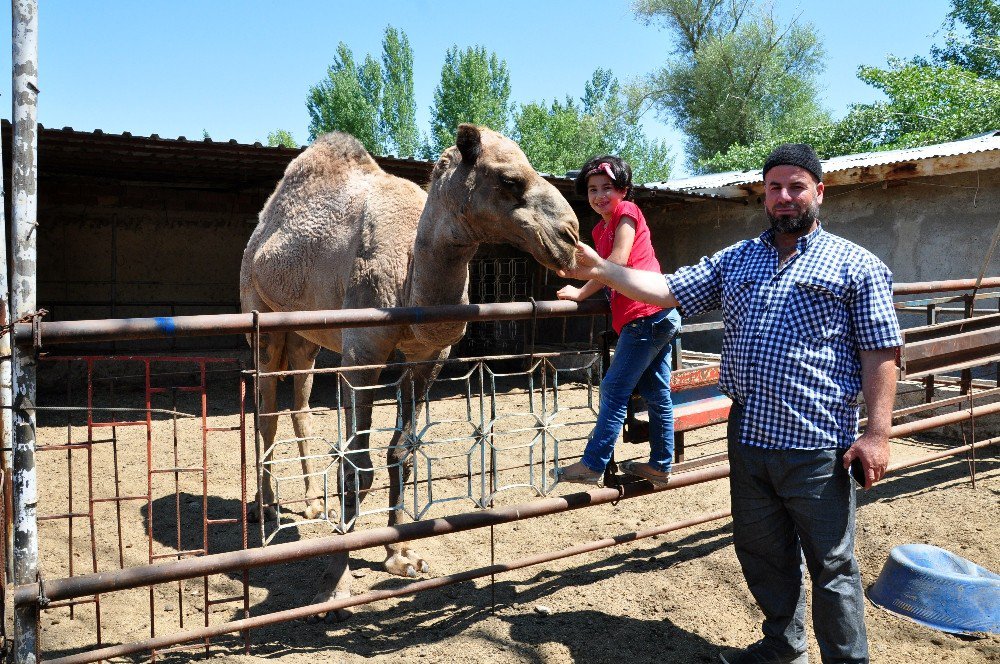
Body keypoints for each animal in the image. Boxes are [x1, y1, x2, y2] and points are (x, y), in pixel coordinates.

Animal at [240, 123, 580, 616]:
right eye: (509, 179)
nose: (570, 236)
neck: (410, 279)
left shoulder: (427, 356)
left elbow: (401, 452)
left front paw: (399, 554)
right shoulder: (362, 352)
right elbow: (355, 465)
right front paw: (335, 585)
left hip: (306, 334)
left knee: (299, 403)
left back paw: (310, 505)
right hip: (259, 314)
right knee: (265, 411)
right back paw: (264, 509)